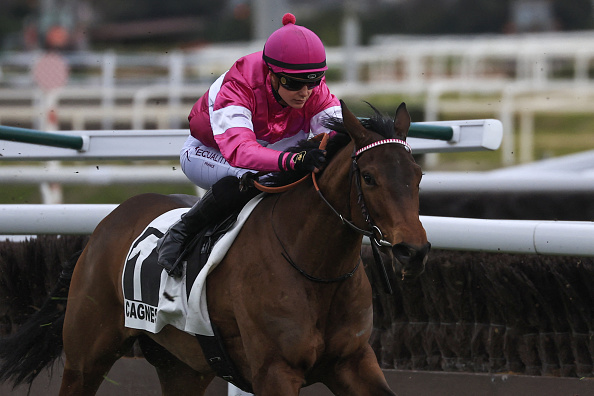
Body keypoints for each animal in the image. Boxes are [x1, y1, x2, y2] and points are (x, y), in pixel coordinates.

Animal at [0, 98, 426, 392]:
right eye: (369, 177)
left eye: (418, 174)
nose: (414, 251)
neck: (316, 270)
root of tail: (104, 224)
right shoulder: (275, 372)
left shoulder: (352, 362)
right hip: (86, 357)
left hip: (183, 366)